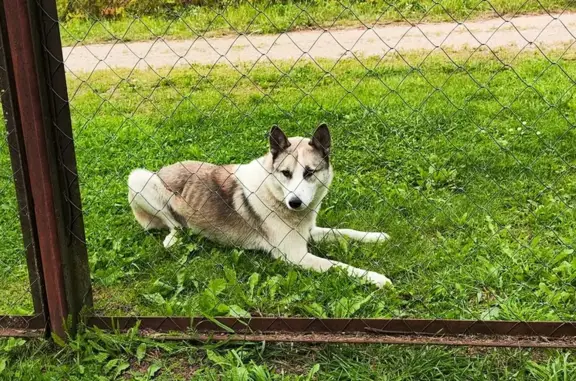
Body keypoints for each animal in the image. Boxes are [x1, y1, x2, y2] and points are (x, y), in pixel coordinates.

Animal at [127, 123, 392, 286]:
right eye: (286, 173)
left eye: (309, 173)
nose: (295, 202)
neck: (277, 196)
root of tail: (163, 168)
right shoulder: (295, 256)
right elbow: (339, 266)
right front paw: (377, 278)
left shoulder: (310, 232)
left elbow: (344, 231)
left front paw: (376, 237)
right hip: (138, 177)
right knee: (173, 225)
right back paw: (176, 238)